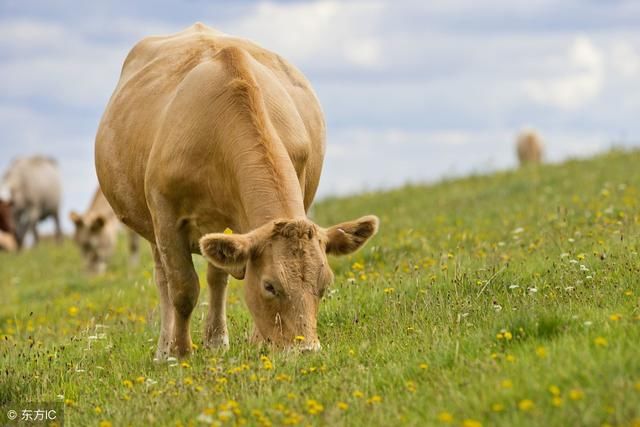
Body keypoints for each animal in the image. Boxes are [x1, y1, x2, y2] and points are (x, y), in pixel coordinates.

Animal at [95, 21, 380, 360]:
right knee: (163, 279)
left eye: (324, 284)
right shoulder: (164, 214)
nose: (306, 349)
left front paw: (255, 339)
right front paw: (180, 352)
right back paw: (164, 351)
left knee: (216, 277)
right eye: (270, 286)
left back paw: (216, 340)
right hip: (150, 225)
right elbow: (182, 288)